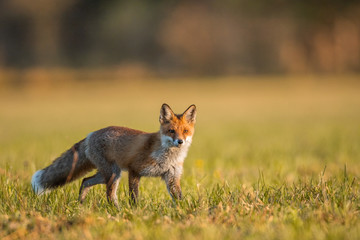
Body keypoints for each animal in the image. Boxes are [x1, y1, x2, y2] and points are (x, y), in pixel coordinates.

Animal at [31, 103, 197, 206]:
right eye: (171, 131)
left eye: (185, 131)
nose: (180, 141)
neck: (167, 157)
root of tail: (91, 134)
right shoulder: (134, 170)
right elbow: (134, 196)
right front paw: (135, 211)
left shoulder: (172, 177)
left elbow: (179, 198)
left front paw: (184, 211)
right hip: (113, 174)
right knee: (109, 195)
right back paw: (117, 211)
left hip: (107, 174)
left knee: (85, 181)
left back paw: (81, 204)